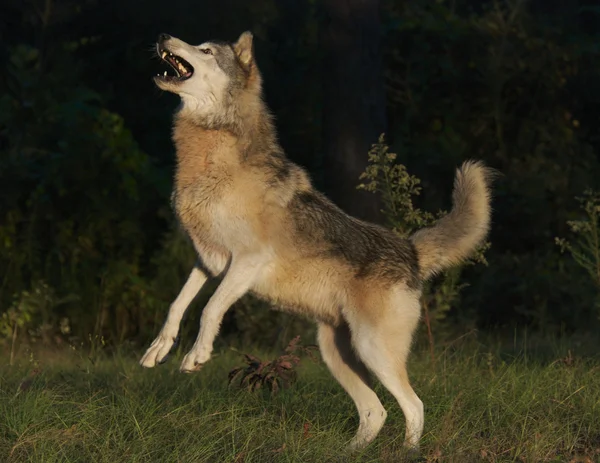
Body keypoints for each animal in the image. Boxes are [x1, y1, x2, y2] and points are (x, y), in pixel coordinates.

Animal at [141, 30, 492, 452]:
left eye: (206, 50)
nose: (163, 36)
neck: (213, 155)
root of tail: (409, 249)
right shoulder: (208, 261)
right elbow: (176, 306)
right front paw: (158, 349)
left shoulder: (246, 263)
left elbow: (209, 310)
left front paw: (196, 356)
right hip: (336, 354)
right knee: (376, 412)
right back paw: (351, 453)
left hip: (372, 352)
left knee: (414, 405)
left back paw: (409, 453)